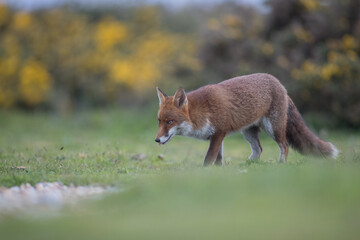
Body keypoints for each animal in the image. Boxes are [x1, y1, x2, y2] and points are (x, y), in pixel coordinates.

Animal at [155, 74, 338, 166]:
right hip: (248, 132)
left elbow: (208, 159)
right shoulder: (217, 136)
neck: (202, 112)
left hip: (274, 128)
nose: (156, 139)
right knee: (259, 150)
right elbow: (218, 159)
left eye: (170, 121)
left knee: (284, 145)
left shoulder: (219, 133)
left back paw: (280, 164)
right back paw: (248, 165)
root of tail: (279, 83)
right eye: (159, 121)